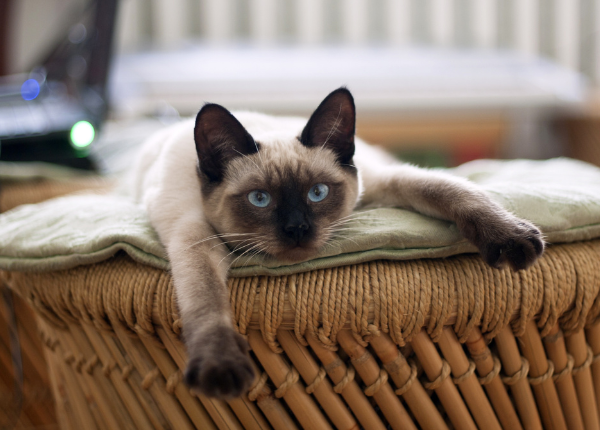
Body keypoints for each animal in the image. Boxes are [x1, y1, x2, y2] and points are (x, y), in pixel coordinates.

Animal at [131, 87, 544, 400]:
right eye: (260, 200)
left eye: (318, 193)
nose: (297, 229)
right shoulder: (194, 238)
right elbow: (206, 299)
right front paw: (220, 368)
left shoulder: (384, 183)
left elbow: (450, 190)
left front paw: (511, 237)